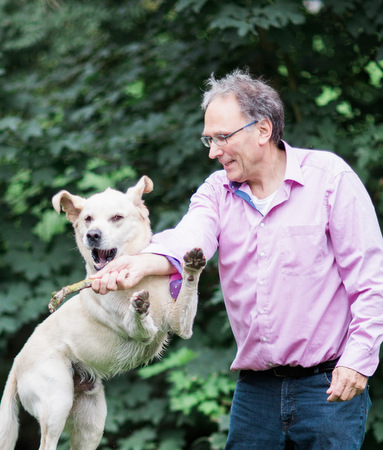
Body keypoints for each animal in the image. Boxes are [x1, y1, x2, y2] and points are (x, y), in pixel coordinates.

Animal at [0, 176, 206, 450]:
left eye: (117, 217)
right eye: (88, 219)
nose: (93, 235)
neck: (139, 282)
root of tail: (16, 363)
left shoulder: (180, 324)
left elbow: (188, 289)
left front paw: (191, 266)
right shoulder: (144, 334)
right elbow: (141, 324)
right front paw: (138, 307)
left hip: (91, 425)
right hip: (56, 406)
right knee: (47, 443)